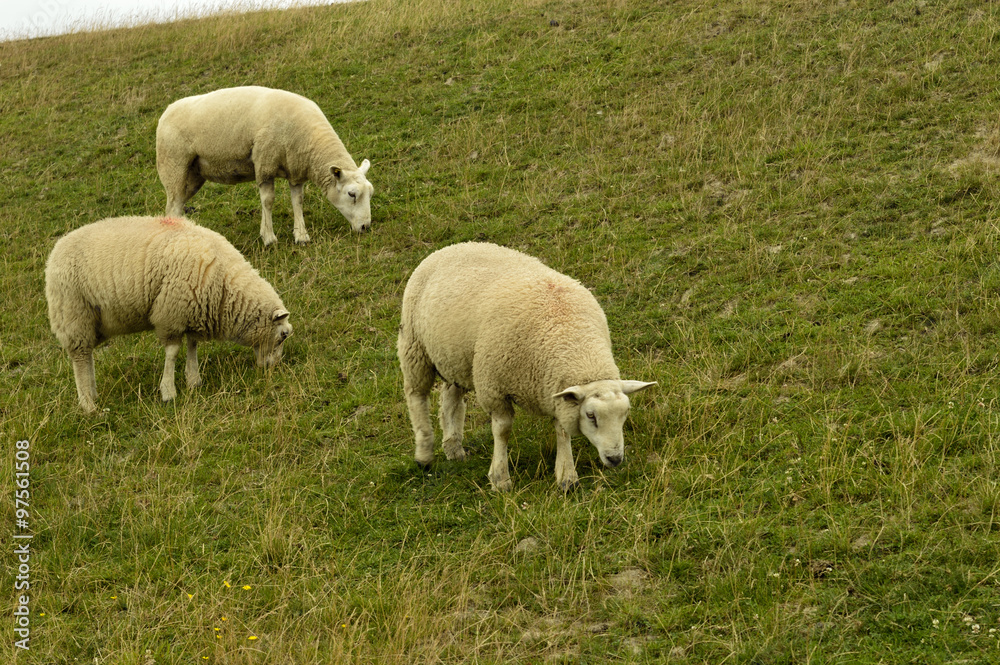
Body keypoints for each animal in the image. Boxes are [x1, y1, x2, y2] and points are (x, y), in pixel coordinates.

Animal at [45, 215, 293, 412]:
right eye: (282, 336)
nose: (272, 367)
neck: (224, 284)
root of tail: (55, 252)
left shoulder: (192, 311)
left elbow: (193, 344)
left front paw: (193, 379)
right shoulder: (170, 313)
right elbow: (172, 353)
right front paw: (168, 391)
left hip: (93, 322)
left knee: (87, 357)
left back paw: (93, 394)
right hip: (73, 313)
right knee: (80, 357)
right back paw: (88, 405)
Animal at [155, 86, 374, 245]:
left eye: (370, 193)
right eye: (352, 194)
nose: (365, 227)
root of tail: (166, 111)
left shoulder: (295, 169)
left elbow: (298, 201)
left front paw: (301, 236)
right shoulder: (264, 164)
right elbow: (268, 201)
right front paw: (269, 238)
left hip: (193, 174)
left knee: (178, 206)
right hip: (173, 166)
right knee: (172, 207)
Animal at [397, 242, 655, 492]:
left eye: (625, 413)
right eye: (591, 415)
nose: (615, 459)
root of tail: (453, 246)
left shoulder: (556, 391)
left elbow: (562, 430)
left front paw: (567, 477)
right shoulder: (494, 387)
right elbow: (502, 431)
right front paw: (500, 479)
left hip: (457, 357)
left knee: (450, 398)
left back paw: (453, 449)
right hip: (415, 347)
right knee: (416, 396)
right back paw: (424, 455)